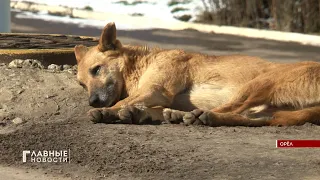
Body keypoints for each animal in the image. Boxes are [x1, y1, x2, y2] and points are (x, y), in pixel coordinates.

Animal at [74, 22, 320, 126]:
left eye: (97, 69)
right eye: (82, 85)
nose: (93, 102)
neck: (143, 63)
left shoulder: (157, 91)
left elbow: (122, 102)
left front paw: (110, 111)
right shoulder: (157, 96)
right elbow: (145, 107)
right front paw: (136, 113)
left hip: (258, 84)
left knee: (230, 109)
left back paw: (191, 116)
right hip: (269, 108)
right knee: (254, 119)